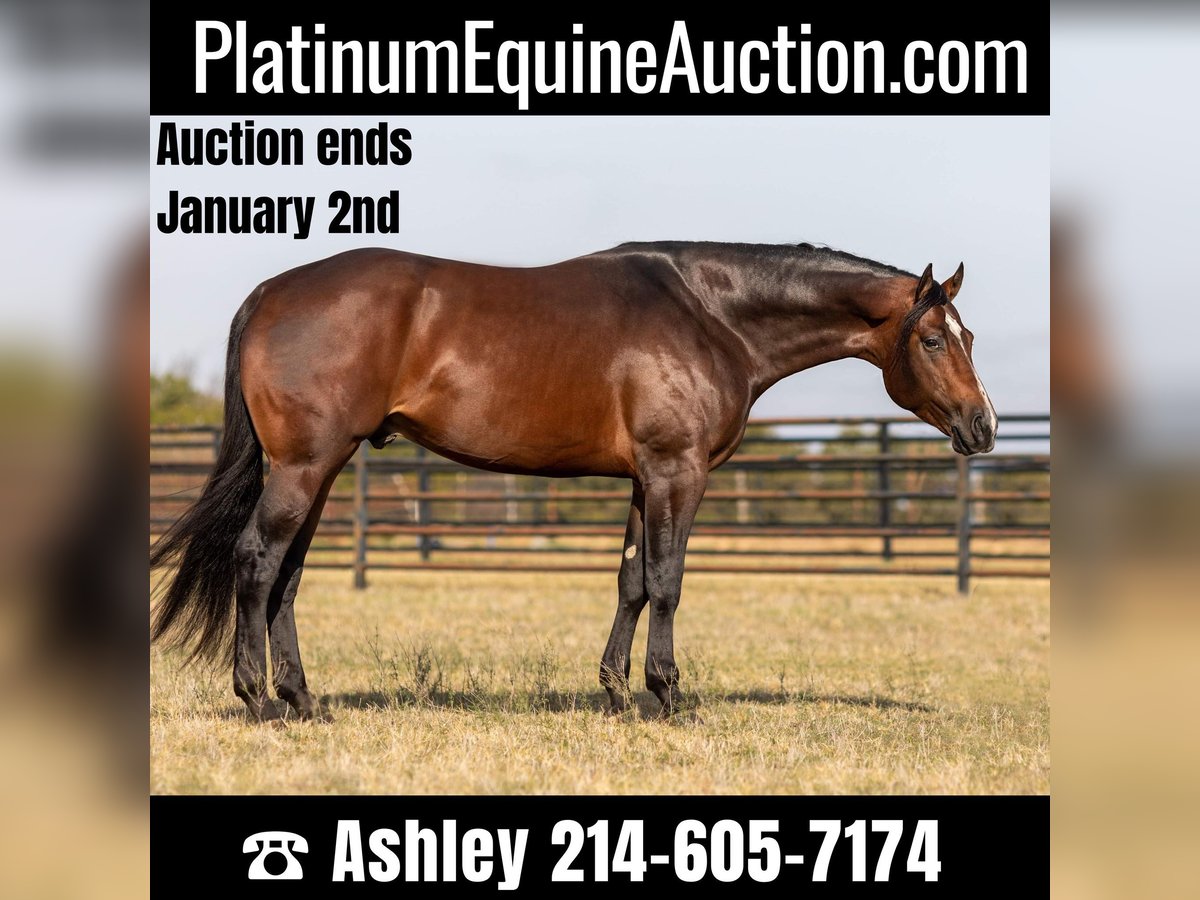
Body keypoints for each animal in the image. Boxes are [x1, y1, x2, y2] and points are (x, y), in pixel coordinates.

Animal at [150, 241, 997, 721]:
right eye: (932, 340)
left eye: (970, 337)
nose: (983, 426)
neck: (713, 315)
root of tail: (270, 293)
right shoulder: (677, 472)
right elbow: (667, 583)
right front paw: (668, 696)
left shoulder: (644, 478)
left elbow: (631, 583)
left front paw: (616, 693)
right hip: (304, 466)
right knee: (258, 562)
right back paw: (258, 700)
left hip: (322, 468)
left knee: (286, 577)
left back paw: (303, 700)